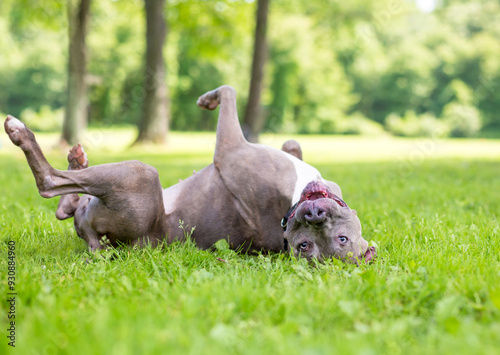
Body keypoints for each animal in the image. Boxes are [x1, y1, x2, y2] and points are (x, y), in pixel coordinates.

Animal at [4, 85, 376, 264]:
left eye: (303, 245)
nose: (314, 215)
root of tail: (100, 241)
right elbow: (293, 143)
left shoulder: (229, 146)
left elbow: (229, 90)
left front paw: (210, 99)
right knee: (68, 204)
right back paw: (76, 160)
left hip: (138, 175)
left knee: (50, 184)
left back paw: (21, 133)